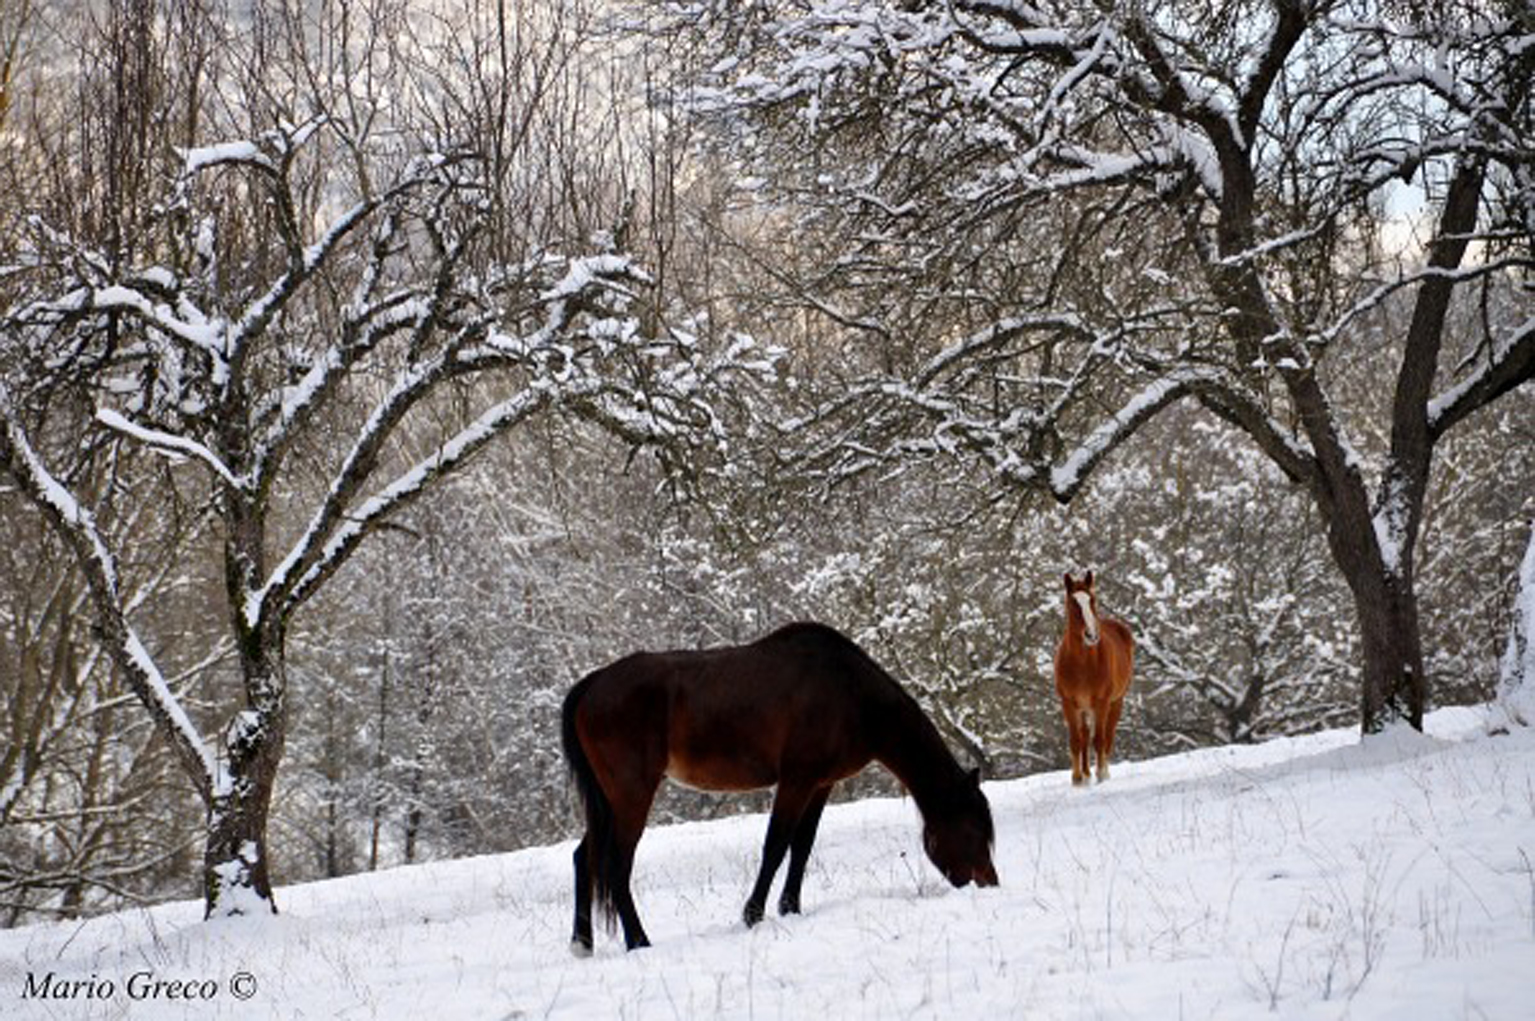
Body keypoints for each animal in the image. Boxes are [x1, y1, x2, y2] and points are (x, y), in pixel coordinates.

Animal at [558, 617, 1000, 951]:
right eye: (971, 830)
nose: (990, 884)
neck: (850, 693)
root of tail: (592, 685)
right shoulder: (796, 780)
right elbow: (776, 846)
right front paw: (752, 914)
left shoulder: (820, 785)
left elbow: (801, 847)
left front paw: (791, 908)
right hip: (631, 794)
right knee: (617, 863)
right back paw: (639, 941)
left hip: (608, 801)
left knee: (585, 858)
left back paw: (582, 943)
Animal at [1049, 568, 1135, 783]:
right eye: (1073, 602)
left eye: (1092, 600)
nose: (1091, 635)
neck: (1083, 664)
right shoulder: (1069, 703)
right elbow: (1076, 740)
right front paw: (1078, 779)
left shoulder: (1102, 702)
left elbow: (1099, 740)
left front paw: (1101, 775)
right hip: (1084, 707)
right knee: (1085, 735)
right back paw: (1087, 773)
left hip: (1115, 702)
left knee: (1107, 736)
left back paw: (1102, 771)